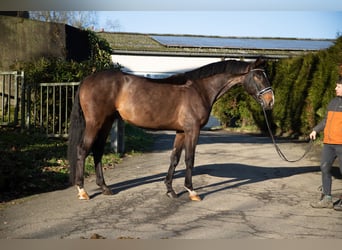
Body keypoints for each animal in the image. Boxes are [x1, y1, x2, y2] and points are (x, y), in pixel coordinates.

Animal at [68, 57, 274, 200]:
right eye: (258, 76)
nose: (270, 101)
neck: (200, 89)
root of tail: (87, 79)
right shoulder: (193, 130)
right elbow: (189, 159)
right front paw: (192, 191)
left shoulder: (181, 131)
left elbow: (174, 158)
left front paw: (170, 190)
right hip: (95, 123)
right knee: (82, 149)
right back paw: (82, 191)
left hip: (106, 122)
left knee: (97, 151)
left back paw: (105, 188)